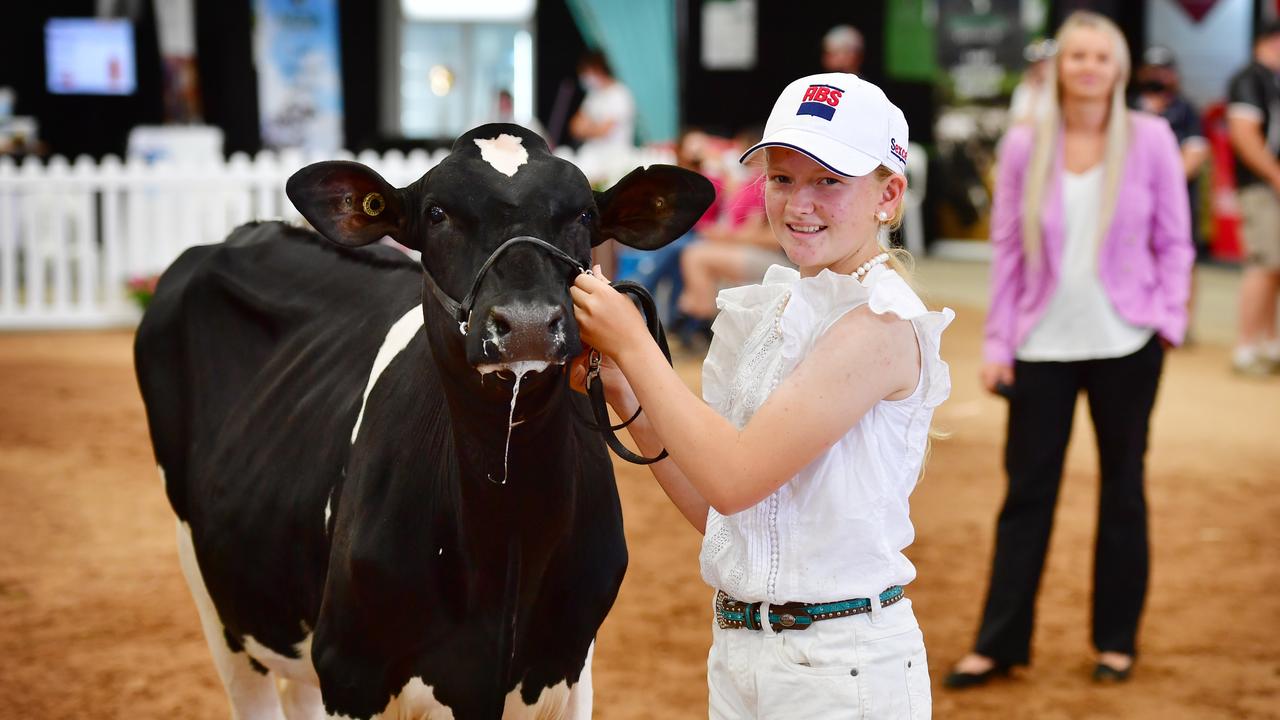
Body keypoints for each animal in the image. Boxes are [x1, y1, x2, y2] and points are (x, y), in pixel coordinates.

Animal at [138, 124, 716, 717]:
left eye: (582, 214)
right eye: (438, 213)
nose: (528, 323)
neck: (505, 538)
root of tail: (247, 233)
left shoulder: (569, 666)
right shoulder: (349, 668)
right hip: (215, 598)